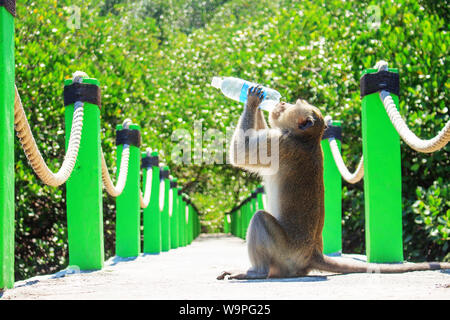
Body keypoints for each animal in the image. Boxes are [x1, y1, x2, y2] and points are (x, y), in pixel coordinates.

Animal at [217, 86, 446, 278]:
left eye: (294, 104)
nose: (281, 103)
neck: (306, 138)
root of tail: (313, 254)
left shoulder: (279, 144)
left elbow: (241, 153)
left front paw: (253, 99)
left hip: (286, 253)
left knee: (260, 219)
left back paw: (257, 272)